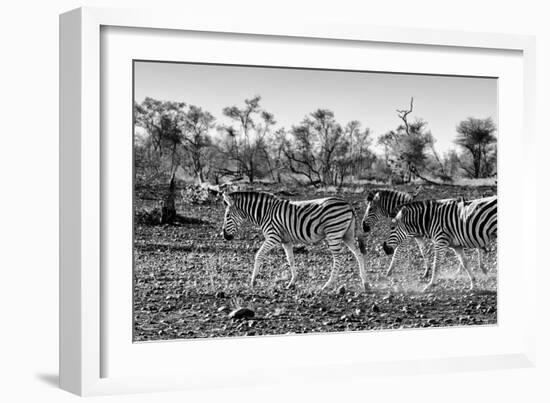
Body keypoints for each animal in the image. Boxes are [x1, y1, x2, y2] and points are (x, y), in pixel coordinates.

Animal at [221, 191, 370, 292]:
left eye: (227, 215)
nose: (225, 236)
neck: (265, 213)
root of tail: (348, 204)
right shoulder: (285, 240)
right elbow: (290, 260)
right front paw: (292, 283)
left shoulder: (273, 237)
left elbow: (259, 255)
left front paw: (253, 281)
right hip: (347, 235)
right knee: (359, 254)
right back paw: (365, 283)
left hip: (334, 232)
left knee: (338, 259)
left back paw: (328, 284)